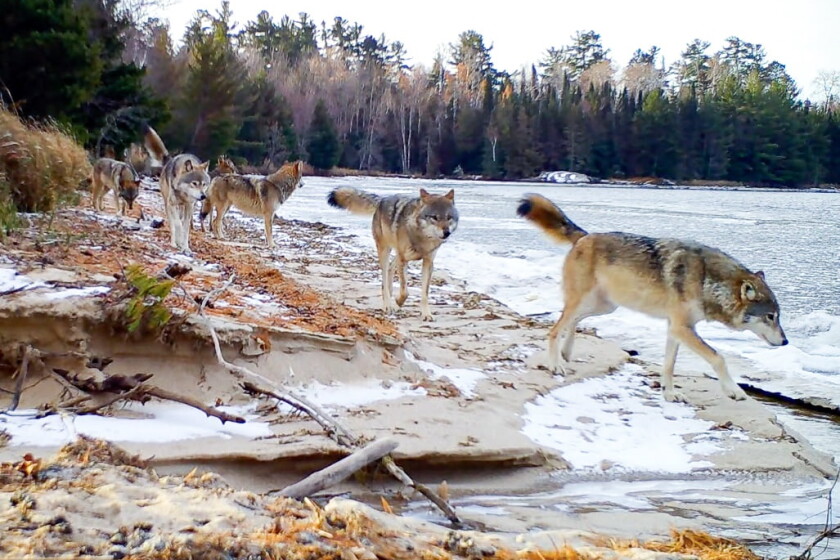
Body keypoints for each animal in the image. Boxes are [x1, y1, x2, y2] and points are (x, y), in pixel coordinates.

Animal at [327, 187, 458, 321]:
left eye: (449, 217)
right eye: (434, 217)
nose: (447, 232)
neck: (421, 238)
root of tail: (382, 200)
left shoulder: (428, 262)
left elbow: (425, 294)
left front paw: (426, 314)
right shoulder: (403, 259)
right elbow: (405, 292)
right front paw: (397, 303)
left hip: (396, 254)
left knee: (390, 269)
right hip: (386, 251)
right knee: (384, 280)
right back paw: (388, 305)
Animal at [517, 193, 787, 402]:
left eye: (778, 316)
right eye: (770, 316)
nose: (785, 342)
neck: (707, 281)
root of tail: (585, 235)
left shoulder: (675, 329)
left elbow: (669, 365)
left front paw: (669, 394)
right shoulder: (681, 327)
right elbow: (718, 358)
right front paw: (734, 391)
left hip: (605, 306)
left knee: (572, 322)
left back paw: (567, 353)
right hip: (585, 302)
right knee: (555, 328)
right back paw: (556, 363)